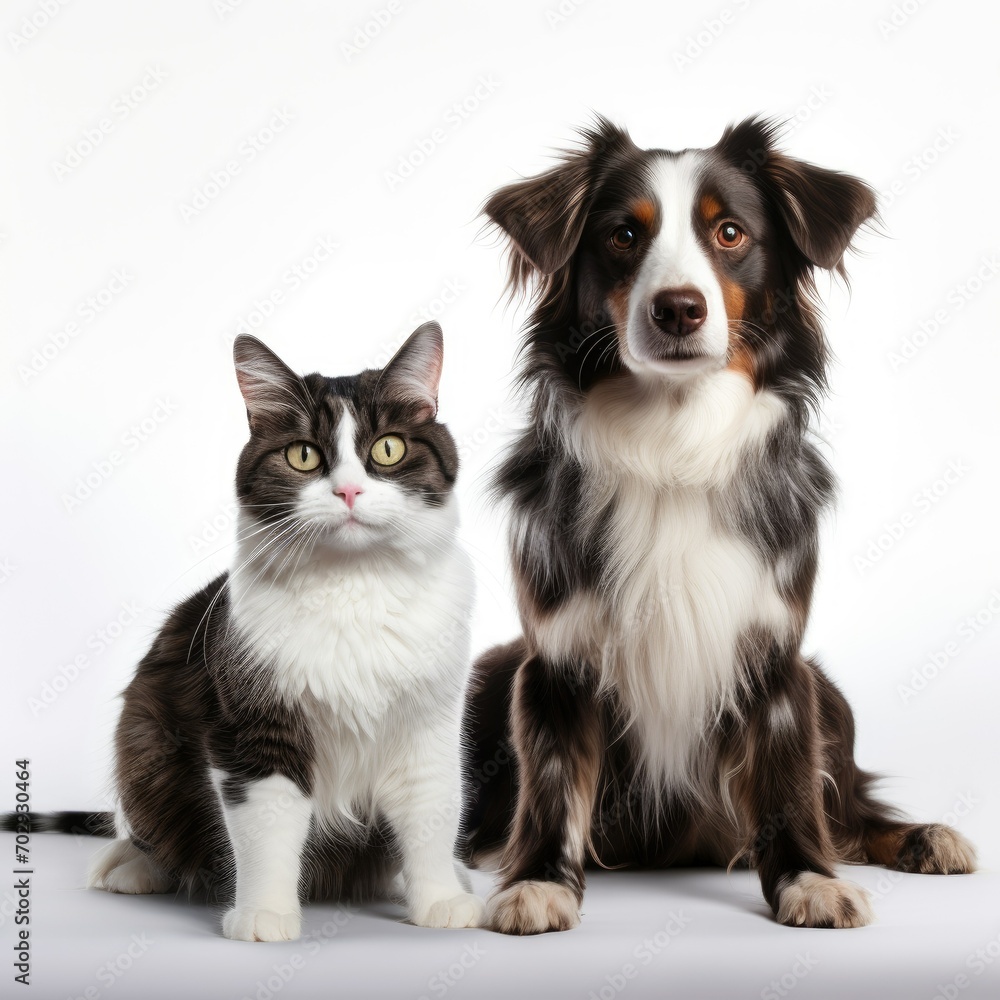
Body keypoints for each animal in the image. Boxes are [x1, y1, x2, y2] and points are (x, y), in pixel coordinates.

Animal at [88, 324, 486, 940]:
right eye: (303, 455)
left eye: (388, 449)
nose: (348, 492)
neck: (352, 585)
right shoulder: (252, 721)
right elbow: (267, 825)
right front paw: (264, 914)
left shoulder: (428, 721)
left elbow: (430, 808)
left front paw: (440, 898)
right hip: (143, 737)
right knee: (147, 824)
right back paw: (130, 865)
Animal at [462, 119, 976, 936]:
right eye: (623, 235)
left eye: (730, 232)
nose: (678, 309)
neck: (673, 443)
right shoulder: (553, 658)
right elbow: (551, 780)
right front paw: (538, 881)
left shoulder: (776, 655)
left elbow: (790, 785)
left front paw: (807, 879)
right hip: (489, 674)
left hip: (831, 691)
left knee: (852, 810)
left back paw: (924, 837)